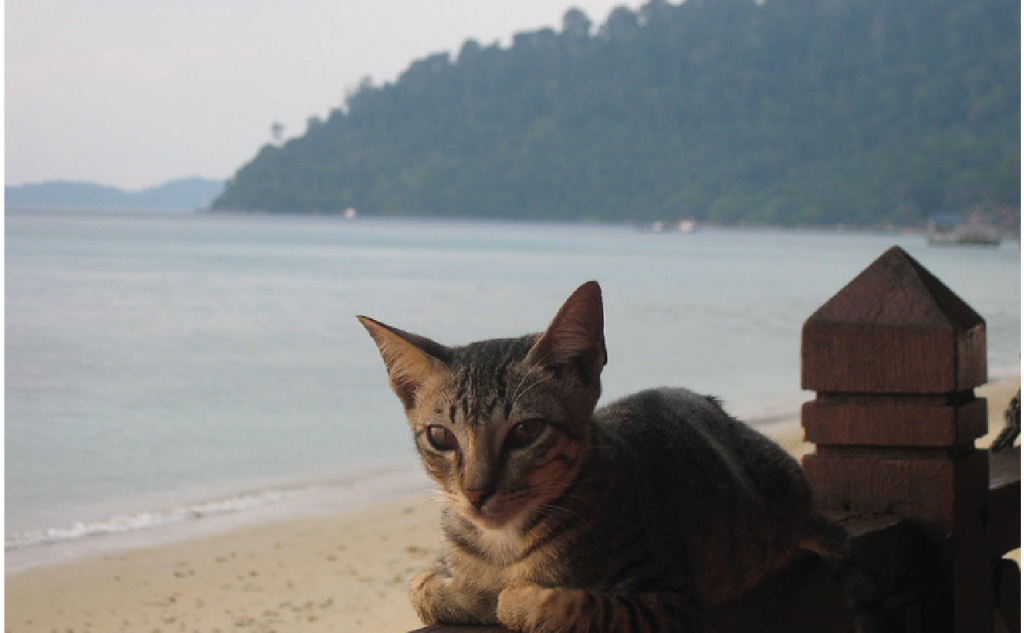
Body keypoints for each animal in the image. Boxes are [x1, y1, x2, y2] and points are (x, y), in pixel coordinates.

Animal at [356, 282, 876, 630]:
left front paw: (508, 599)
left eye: (526, 431)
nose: (476, 493)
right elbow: (422, 587)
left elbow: (566, 604)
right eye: (440, 437)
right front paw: (469, 592)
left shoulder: (666, 600)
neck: (505, 544)